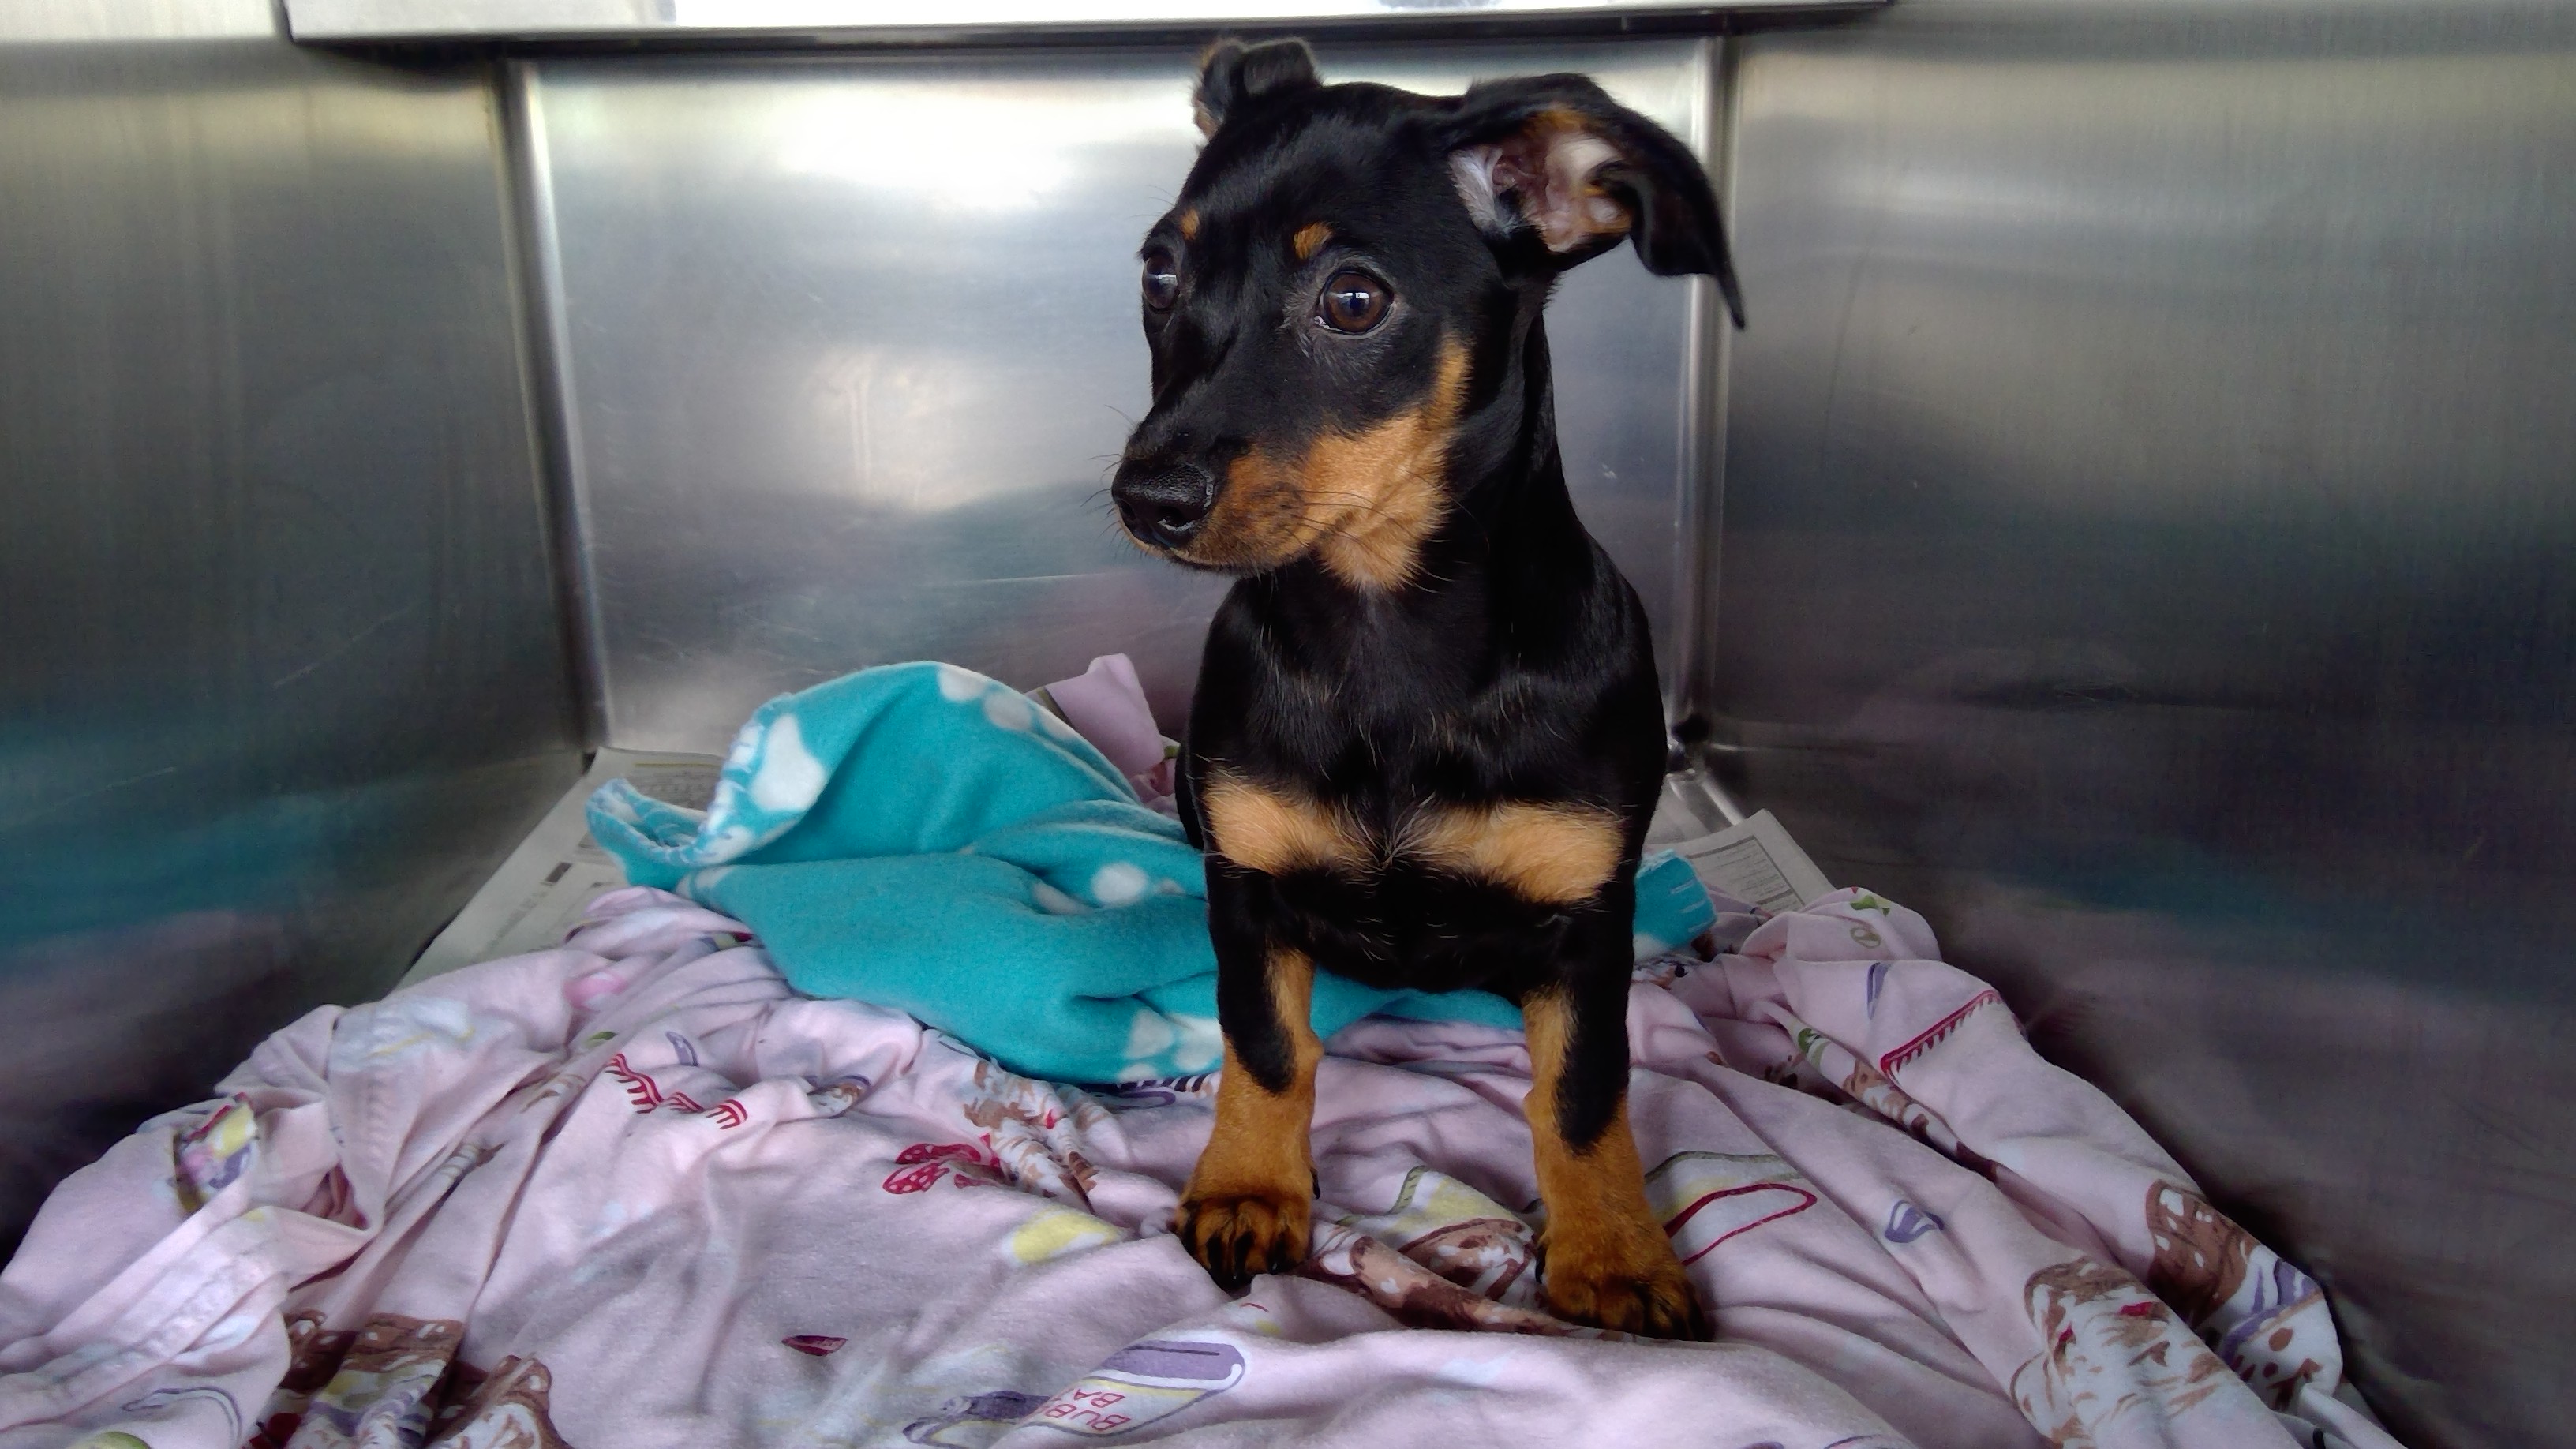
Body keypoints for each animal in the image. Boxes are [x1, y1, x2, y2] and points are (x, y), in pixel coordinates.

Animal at [1109, 38, 1744, 1340]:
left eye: (1353, 300)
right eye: (1159, 270)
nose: (1147, 499)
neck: (1390, 632)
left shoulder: (1587, 923)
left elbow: (1583, 1090)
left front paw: (1614, 1251)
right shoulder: (1246, 885)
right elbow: (1269, 1050)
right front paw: (1249, 1189)